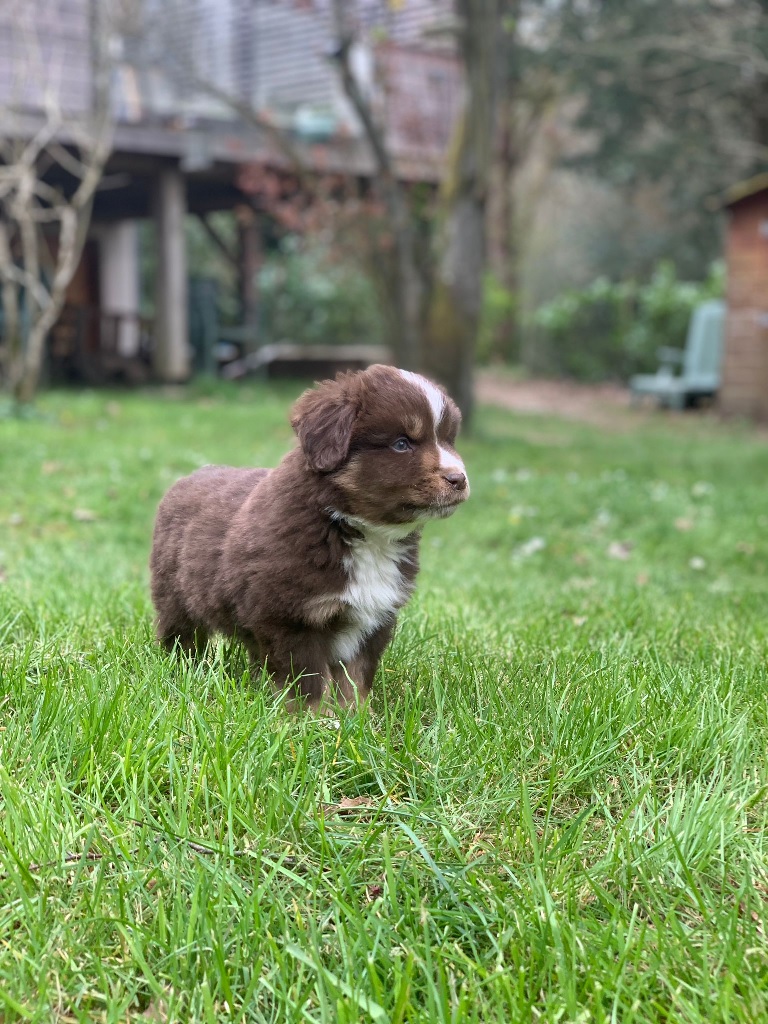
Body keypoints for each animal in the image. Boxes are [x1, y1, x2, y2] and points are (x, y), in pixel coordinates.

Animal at [149, 364, 468, 708]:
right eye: (401, 444)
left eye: (449, 440)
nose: (459, 479)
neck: (360, 531)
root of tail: (189, 476)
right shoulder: (291, 618)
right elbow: (309, 682)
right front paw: (312, 718)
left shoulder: (374, 618)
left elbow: (356, 678)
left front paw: (357, 717)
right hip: (175, 600)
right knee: (182, 639)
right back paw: (185, 670)